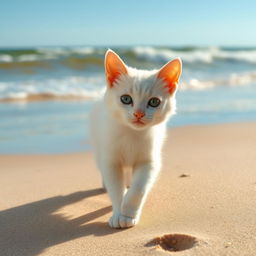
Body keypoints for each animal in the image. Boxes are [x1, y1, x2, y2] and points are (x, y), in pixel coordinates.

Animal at [89, 49, 181, 228]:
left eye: (154, 102)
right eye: (126, 99)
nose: (139, 114)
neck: (132, 134)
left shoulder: (149, 160)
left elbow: (139, 188)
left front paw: (128, 213)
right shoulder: (111, 160)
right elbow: (115, 187)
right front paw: (118, 214)